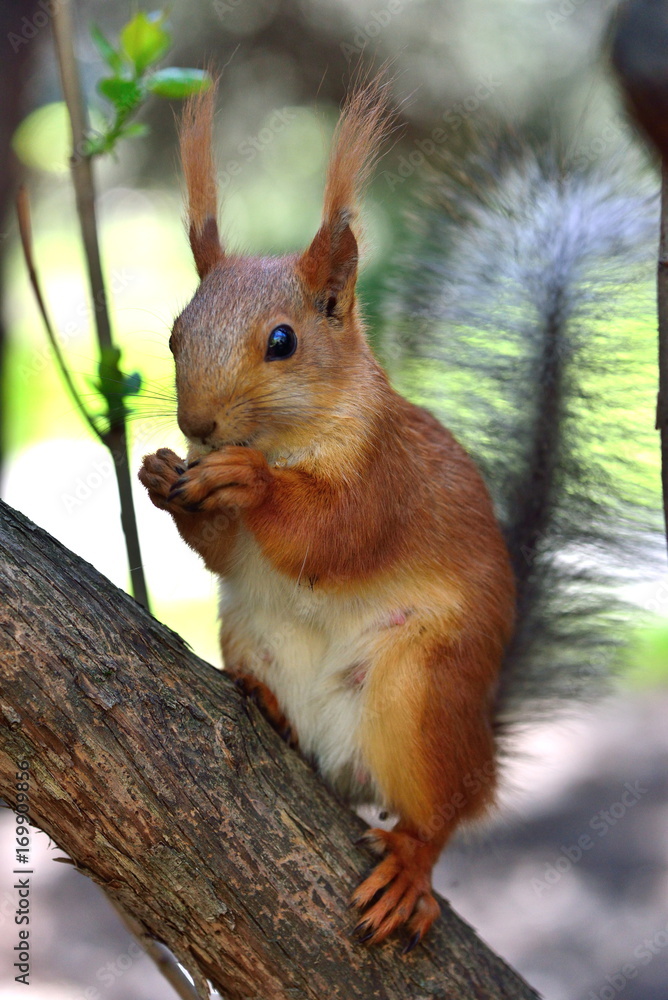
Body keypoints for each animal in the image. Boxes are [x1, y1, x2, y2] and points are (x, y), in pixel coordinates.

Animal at [138, 77, 657, 949]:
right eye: (176, 332)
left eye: (283, 341)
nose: (199, 426)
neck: (293, 440)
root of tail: (483, 753)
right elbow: (222, 552)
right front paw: (158, 473)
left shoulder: (387, 479)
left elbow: (333, 537)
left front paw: (250, 483)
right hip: (251, 636)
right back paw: (273, 711)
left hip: (422, 694)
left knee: (440, 816)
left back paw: (412, 863)